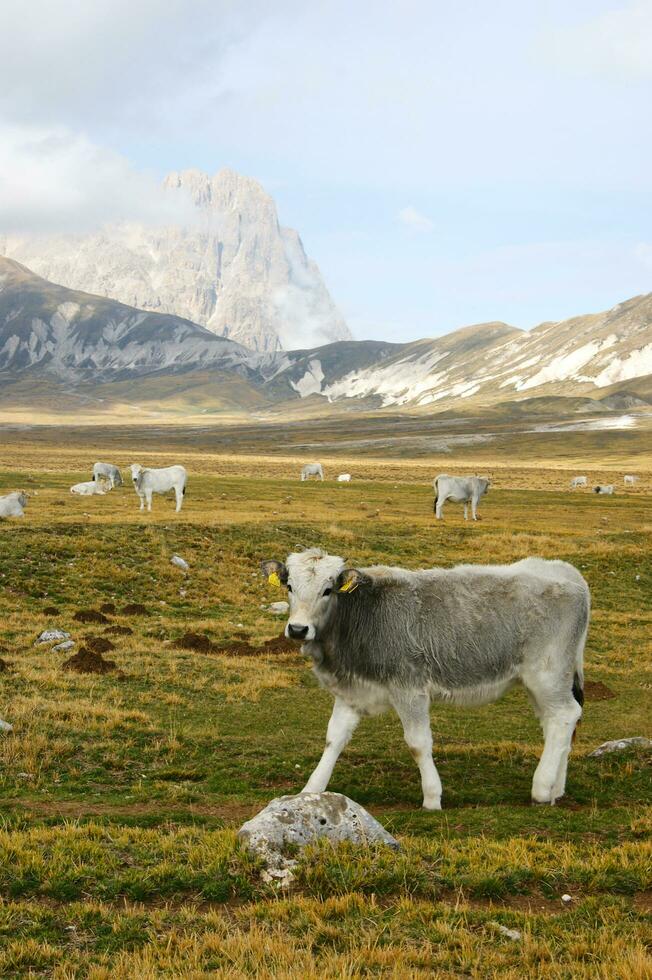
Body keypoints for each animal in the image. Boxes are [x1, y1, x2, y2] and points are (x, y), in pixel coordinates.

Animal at [262, 548, 592, 808]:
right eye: (289, 586)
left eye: (327, 590)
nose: (298, 629)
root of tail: (566, 571)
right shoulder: (352, 691)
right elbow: (334, 739)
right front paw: (310, 791)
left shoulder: (409, 688)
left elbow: (418, 743)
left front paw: (432, 797)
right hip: (543, 682)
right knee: (555, 722)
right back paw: (556, 789)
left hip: (548, 673)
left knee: (564, 715)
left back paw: (542, 789)